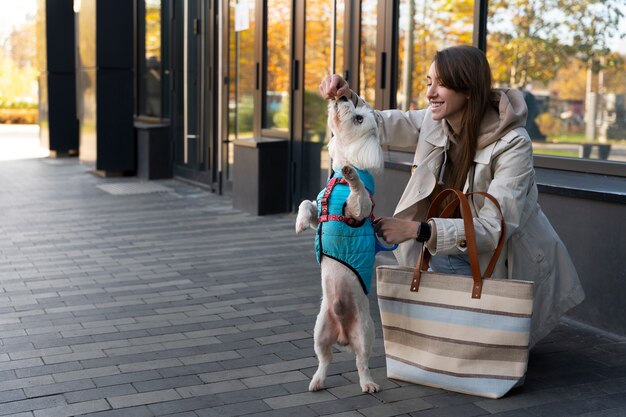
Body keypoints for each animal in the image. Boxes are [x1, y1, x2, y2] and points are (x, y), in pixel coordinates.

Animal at [294, 96, 382, 392]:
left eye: (358, 118)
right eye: (354, 107)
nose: (343, 96)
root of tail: (344, 335)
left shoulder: (359, 210)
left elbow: (359, 193)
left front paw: (352, 174)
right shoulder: (319, 211)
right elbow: (306, 204)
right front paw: (299, 223)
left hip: (365, 332)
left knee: (362, 362)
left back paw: (368, 383)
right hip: (319, 331)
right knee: (326, 359)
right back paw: (317, 380)